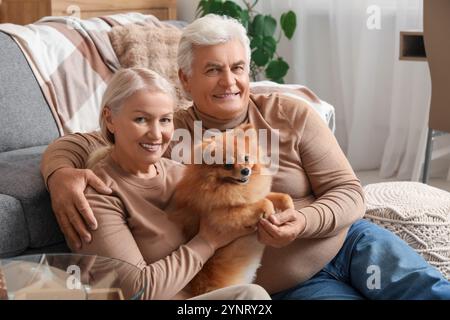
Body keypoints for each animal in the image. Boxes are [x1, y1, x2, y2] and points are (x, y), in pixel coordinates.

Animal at [171, 124, 294, 296]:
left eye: (246, 159)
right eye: (228, 165)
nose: (245, 171)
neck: (232, 188)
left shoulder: (252, 195)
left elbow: (278, 196)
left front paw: (288, 206)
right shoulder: (222, 216)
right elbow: (263, 202)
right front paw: (268, 211)